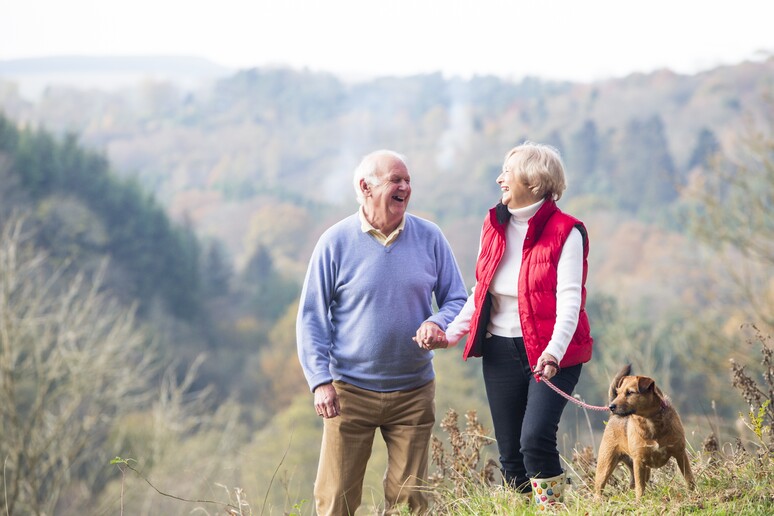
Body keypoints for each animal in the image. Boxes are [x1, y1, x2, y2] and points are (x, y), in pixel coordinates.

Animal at [596, 364, 696, 498]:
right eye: (619, 393)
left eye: (630, 392)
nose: (611, 406)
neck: (649, 420)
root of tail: (612, 417)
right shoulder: (639, 462)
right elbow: (640, 488)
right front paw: (640, 501)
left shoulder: (680, 453)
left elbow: (689, 478)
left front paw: (693, 493)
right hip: (605, 466)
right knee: (599, 490)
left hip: (643, 470)